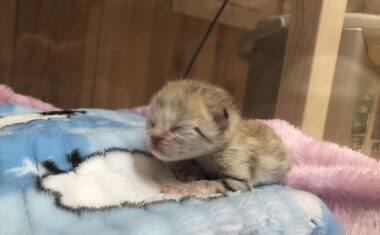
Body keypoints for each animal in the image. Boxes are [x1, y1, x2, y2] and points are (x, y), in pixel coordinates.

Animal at [145, 80, 290, 196]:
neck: (209, 153)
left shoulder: (237, 171)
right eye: (152, 123)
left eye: (177, 127)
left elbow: (209, 183)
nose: (154, 137)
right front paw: (189, 170)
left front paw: (184, 188)